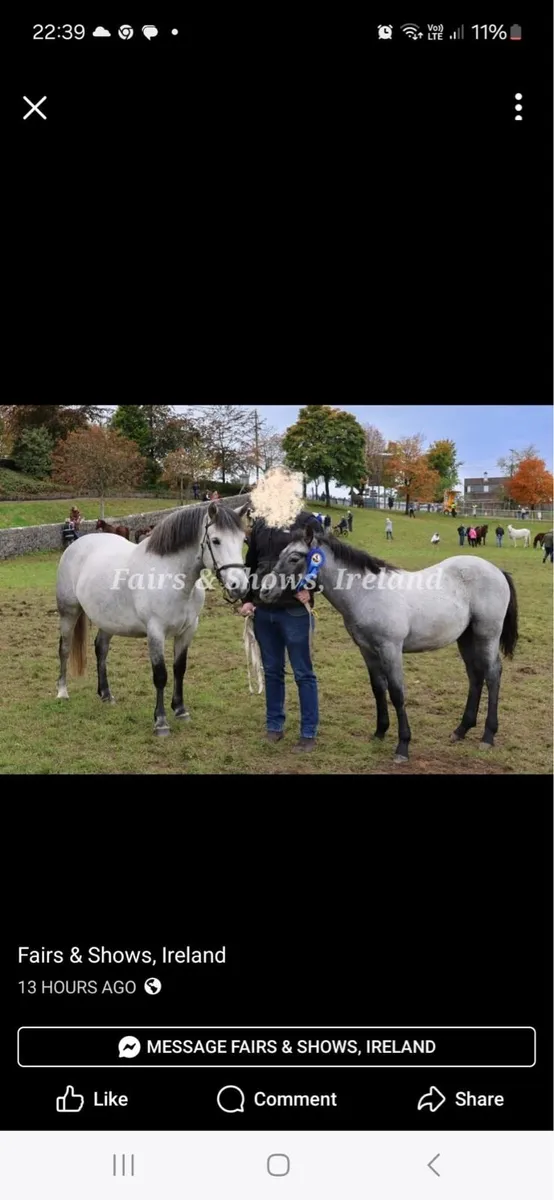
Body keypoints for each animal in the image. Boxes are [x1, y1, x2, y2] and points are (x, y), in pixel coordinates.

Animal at [56, 500, 251, 735]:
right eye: (216, 540)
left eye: (243, 540)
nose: (239, 587)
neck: (171, 576)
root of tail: (77, 544)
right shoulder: (155, 632)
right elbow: (160, 675)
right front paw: (161, 722)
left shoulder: (188, 631)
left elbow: (179, 669)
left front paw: (181, 710)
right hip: (69, 612)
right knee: (65, 648)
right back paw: (62, 692)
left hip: (108, 621)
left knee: (101, 649)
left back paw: (106, 695)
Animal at [260, 525, 518, 766]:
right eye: (281, 554)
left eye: (294, 558)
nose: (264, 591)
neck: (367, 592)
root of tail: (497, 571)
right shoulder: (367, 650)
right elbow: (378, 688)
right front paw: (379, 732)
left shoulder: (390, 649)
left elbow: (396, 693)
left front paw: (402, 746)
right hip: (466, 637)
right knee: (475, 676)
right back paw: (461, 730)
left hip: (487, 635)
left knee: (492, 674)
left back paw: (488, 736)